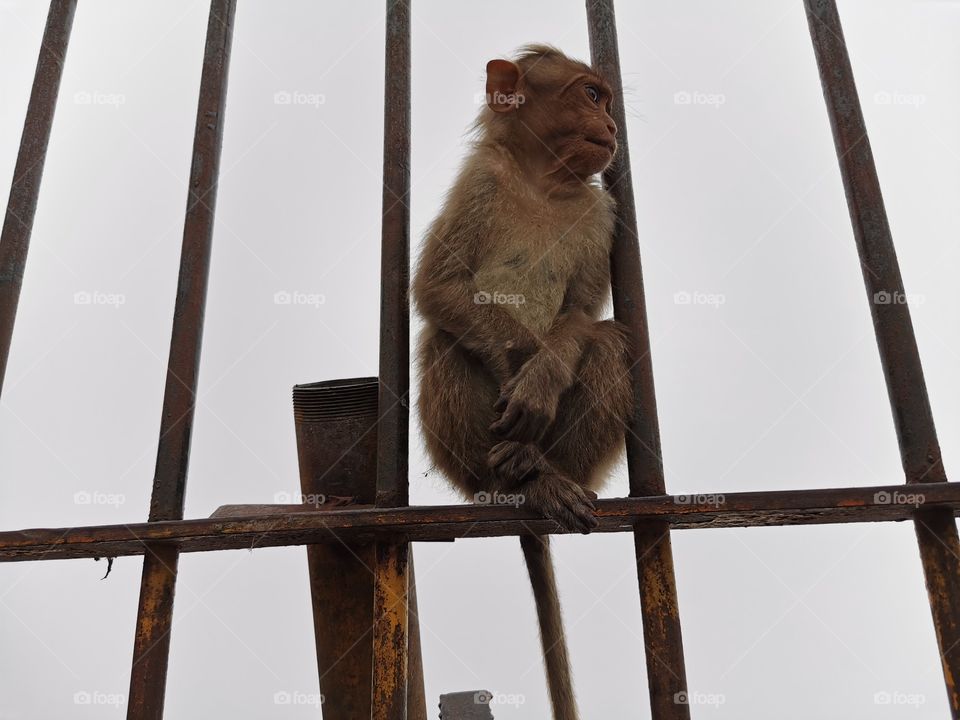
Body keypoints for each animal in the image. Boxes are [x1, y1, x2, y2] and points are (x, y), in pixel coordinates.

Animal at [413, 45, 633, 720]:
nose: (611, 127)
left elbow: (582, 316)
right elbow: (439, 288)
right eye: (590, 94)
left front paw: (542, 375)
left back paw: (545, 474)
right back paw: (516, 477)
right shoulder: (481, 182)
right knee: (445, 338)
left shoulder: (599, 212)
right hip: (460, 465)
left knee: (607, 343)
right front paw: (523, 370)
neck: (545, 182)